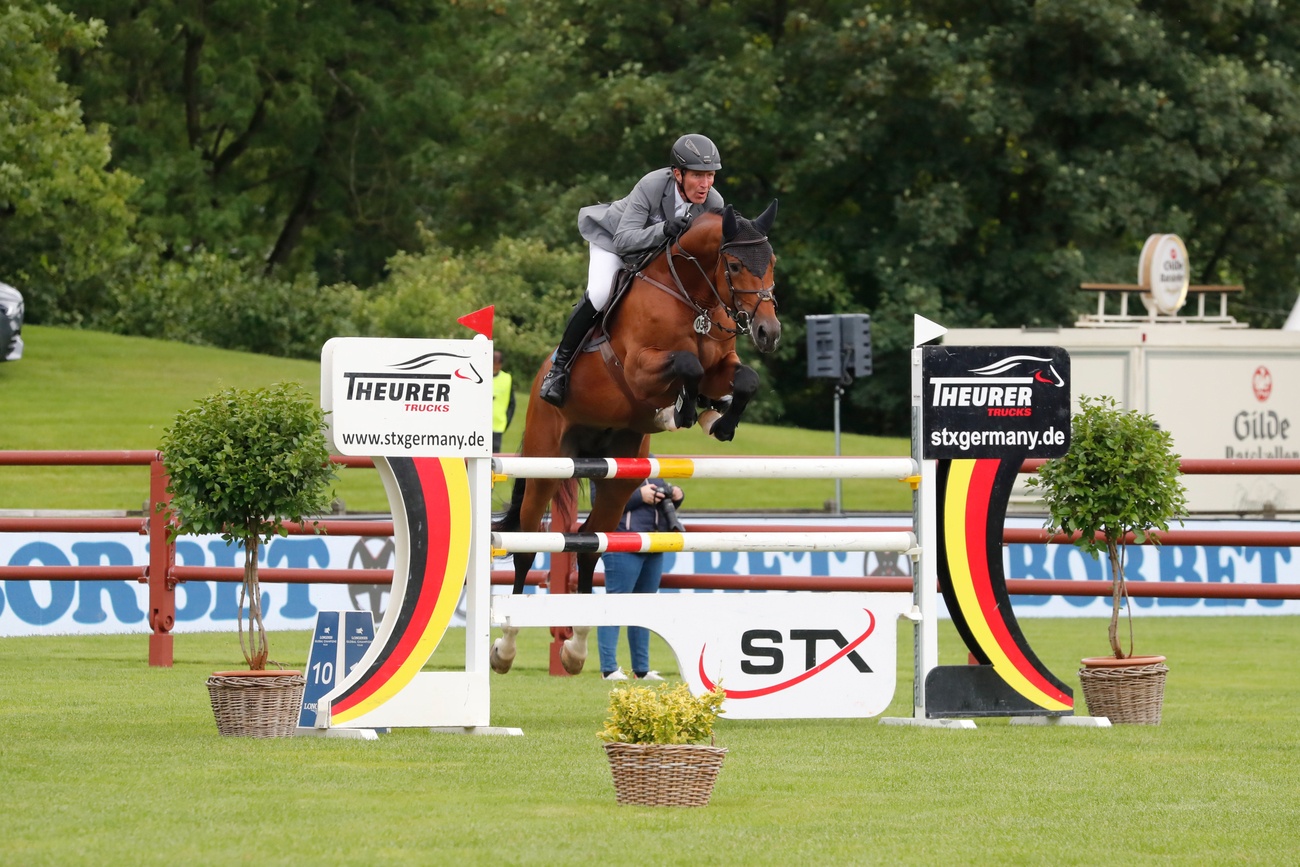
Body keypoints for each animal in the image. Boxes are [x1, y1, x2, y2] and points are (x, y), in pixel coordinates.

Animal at [490, 201, 780, 675]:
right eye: (735, 265)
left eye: (771, 263)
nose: (768, 333)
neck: (693, 296)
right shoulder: (641, 369)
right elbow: (686, 364)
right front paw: (681, 411)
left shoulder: (722, 363)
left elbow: (745, 379)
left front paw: (717, 421)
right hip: (547, 465)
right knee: (527, 545)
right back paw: (505, 649)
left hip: (619, 474)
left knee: (590, 543)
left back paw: (575, 651)